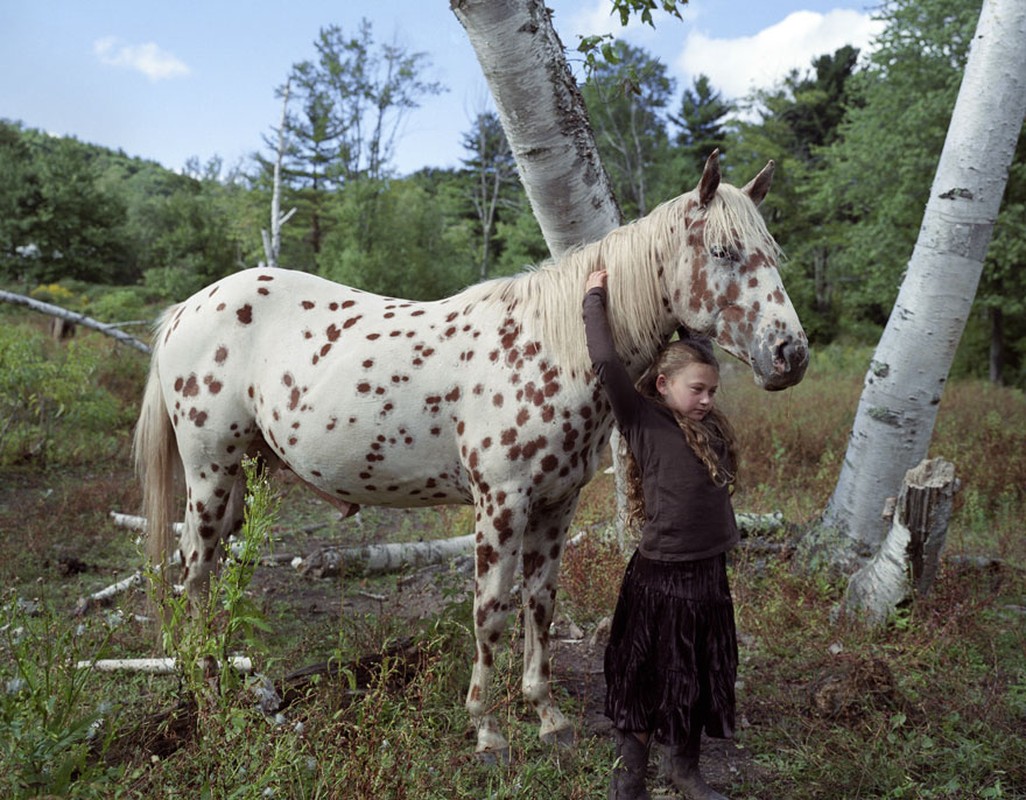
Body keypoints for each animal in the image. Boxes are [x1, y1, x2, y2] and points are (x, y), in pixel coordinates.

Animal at [134, 149, 808, 754]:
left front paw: (547, 716)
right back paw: (207, 697)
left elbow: (539, 603)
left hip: (242, 476)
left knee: (214, 574)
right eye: (723, 252)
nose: (790, 355)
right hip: (210, 473)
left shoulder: (556, 506)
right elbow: (490, 611)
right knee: (194, 572)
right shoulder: (501, 505)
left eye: (772, 253)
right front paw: (487, 729)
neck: (552, 347)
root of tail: (187, 309)